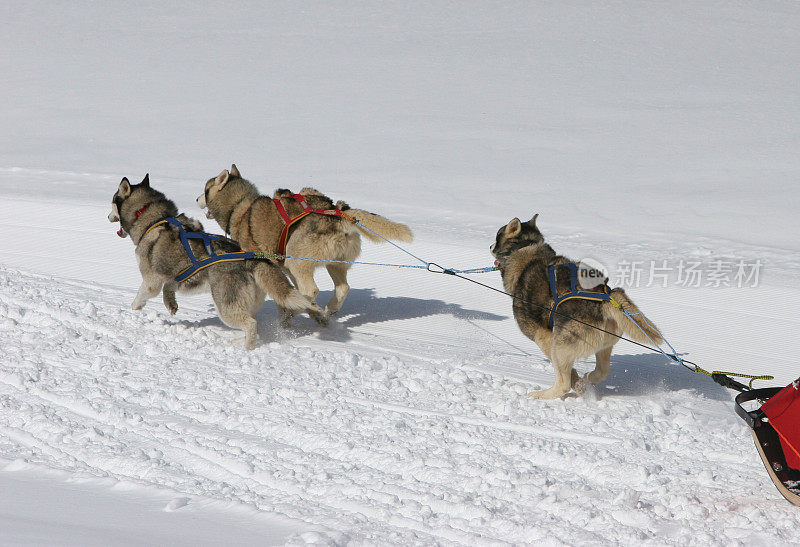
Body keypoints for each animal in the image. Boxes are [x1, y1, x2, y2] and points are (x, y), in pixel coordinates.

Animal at [108, 173, 320, 348]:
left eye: (112, 202)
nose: (108, 216)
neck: (154, 218)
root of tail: (251, 259)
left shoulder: (151, 278)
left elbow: (141, 295)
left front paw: (134, 309)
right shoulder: (180, 275)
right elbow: (169, 287)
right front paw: (170, 303)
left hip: (226, 307)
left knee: (251, 324)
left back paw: (246, 346)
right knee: (254, 324)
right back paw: (240, 341)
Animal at [198, 165, 412, 324]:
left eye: (205, 189)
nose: (196, 198)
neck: (239, 207)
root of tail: (339, 215)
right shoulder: (286, 269)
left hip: (297, 260)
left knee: (311, 290)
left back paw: (301, 311)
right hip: (333, 263)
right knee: (342, 288)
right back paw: (327, 310)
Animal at [490, 216, 664, 400]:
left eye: (497, 236)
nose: (490, 246)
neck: (524, 249)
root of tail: (605, 297)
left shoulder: (542, 336)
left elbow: (569, 374)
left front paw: (577, 384)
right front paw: (581, 383)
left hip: (559, 345)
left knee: (563, 384)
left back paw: (541, 394)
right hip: (604, 345)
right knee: (603, 371)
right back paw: (589, 377)